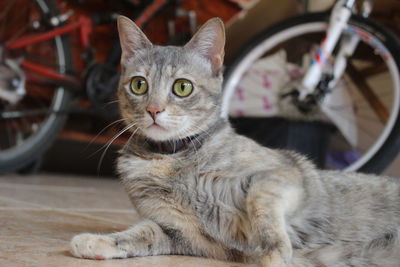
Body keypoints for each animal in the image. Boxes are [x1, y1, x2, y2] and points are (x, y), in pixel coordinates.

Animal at [70, 15, 400, 266]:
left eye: (182, 87)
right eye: (139, 85)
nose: (154, 110)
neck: (172, 159)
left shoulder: (281, 173)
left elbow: (261, 207)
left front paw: (274, 252)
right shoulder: (177, 231)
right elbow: (140, 234)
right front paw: (96, 241)